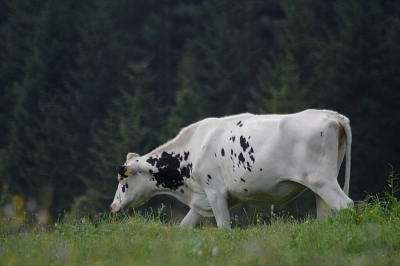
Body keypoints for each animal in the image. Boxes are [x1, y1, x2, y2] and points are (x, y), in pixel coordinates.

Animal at [110, 109, 354, 228]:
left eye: (122, 179)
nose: (113, 205)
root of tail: (332, 115)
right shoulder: (207, 198)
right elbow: (184, 226)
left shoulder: (214, 192)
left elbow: (223, 226)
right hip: (323, 183)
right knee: (325, 214)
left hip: (322, 180)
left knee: (346, 205)